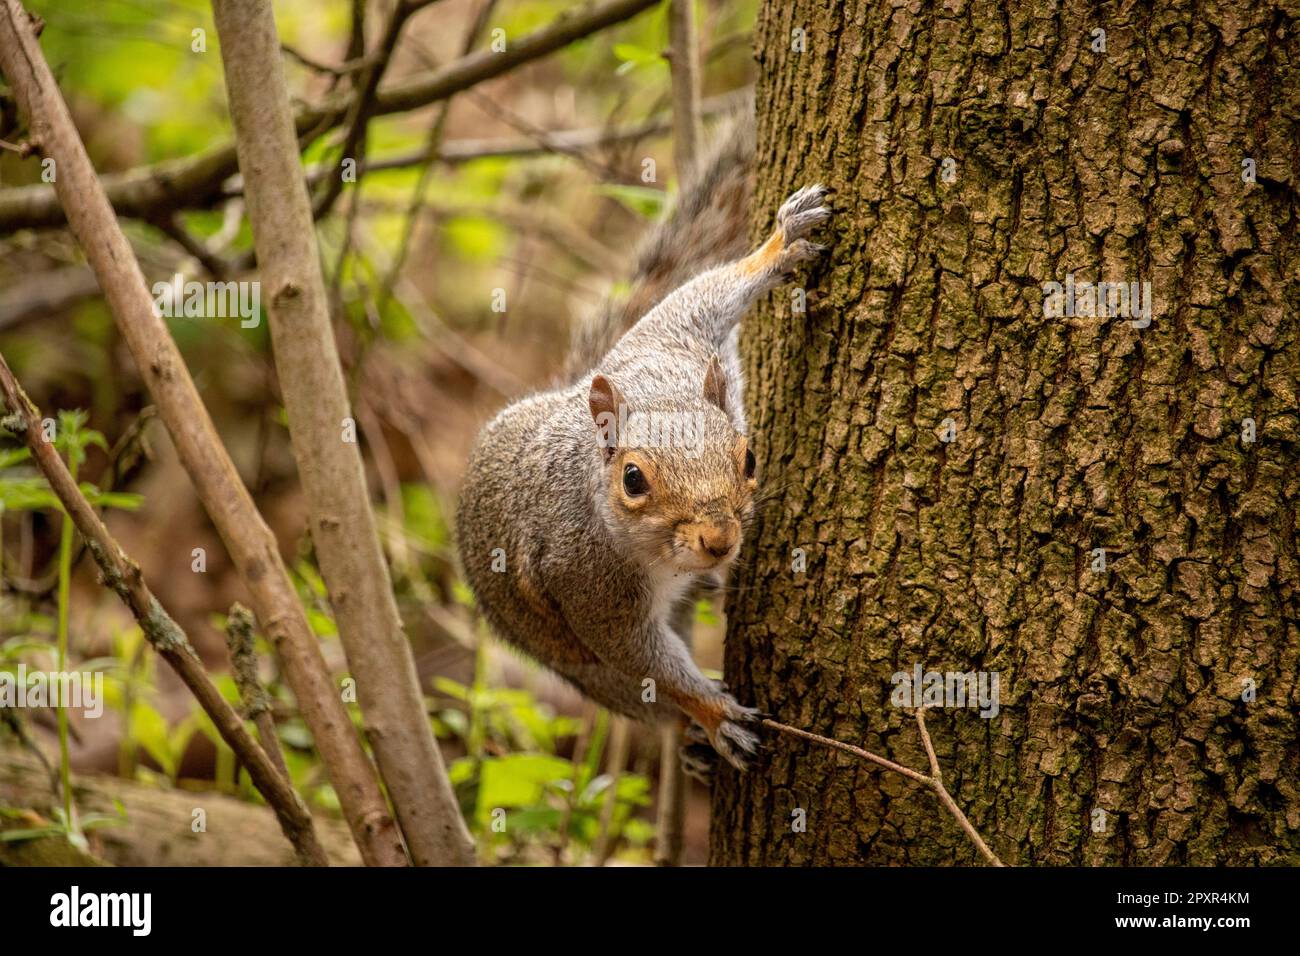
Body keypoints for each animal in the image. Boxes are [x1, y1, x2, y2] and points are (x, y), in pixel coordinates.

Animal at [452, 113, 826, 770]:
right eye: (632, 480)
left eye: (749, 458)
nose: (718, 541)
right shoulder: (587, 582)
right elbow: (647, 663)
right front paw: (715, 714)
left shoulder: (669, 340)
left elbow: (703, 292)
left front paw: (780, 245)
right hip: (578, 666)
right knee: (637, 697)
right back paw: (691, 734)